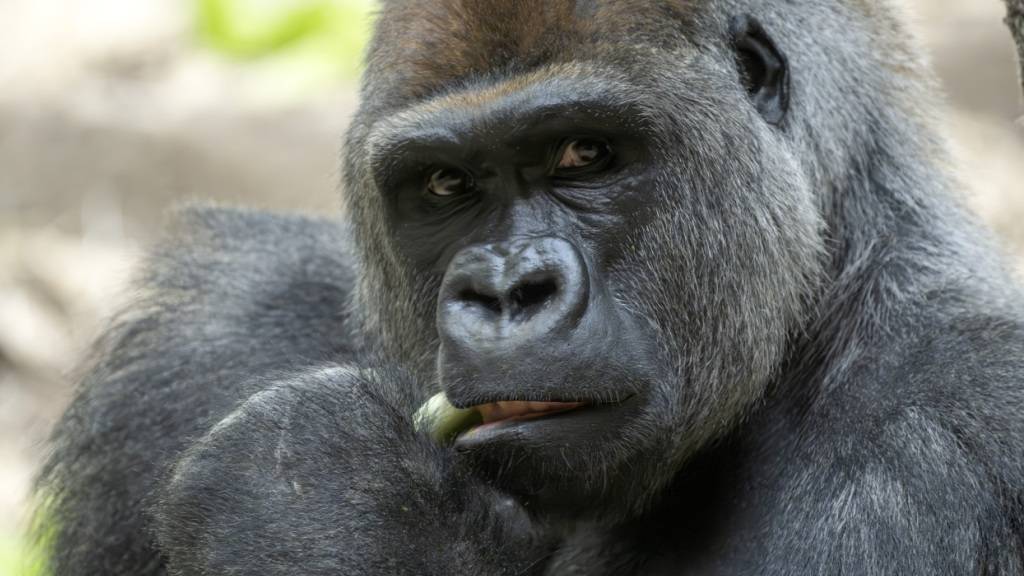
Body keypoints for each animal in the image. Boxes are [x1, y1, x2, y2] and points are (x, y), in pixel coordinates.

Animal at [36, 1, 1024, 574]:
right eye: (445, 185)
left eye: (586, 154)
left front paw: (326, 503)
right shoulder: (216, 327)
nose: (509, 290)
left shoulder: (967, 411)